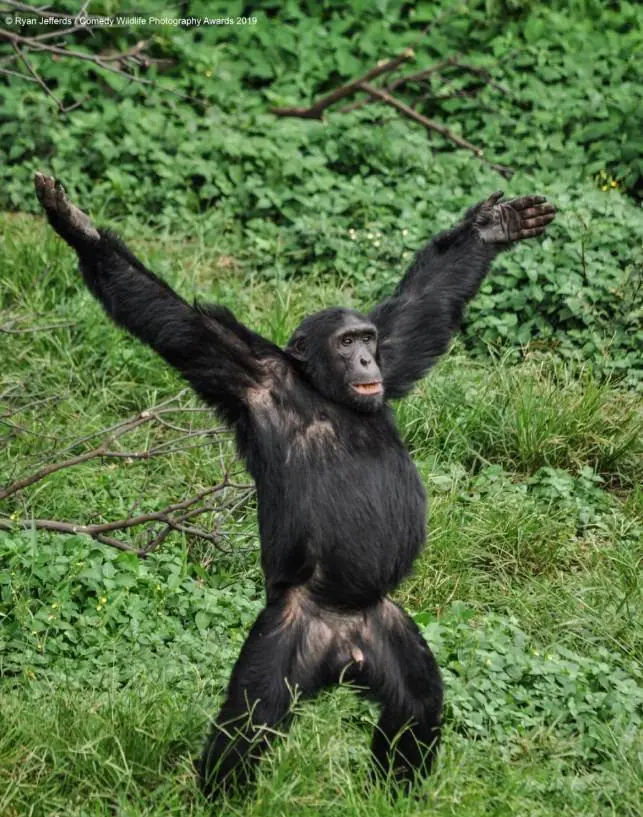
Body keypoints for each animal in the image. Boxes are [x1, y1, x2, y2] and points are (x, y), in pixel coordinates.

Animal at [35, 174, 556, 796]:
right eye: (344, 343)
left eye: (366, 338)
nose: (364, 359)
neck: (324, 393)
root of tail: (344, 650)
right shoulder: (245, 371)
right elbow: (175, 323)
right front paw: (77, 225)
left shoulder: (396, 350)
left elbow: (424, 305)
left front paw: (491, 228)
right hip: (288, 633)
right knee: (248, 721)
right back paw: (219, 796)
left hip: (385, 628)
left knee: (418, 704)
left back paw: (393, 793)